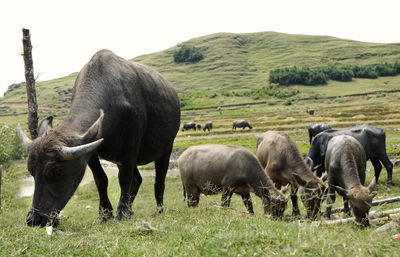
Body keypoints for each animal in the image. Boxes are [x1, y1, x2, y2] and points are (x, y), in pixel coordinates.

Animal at [18, 49, 180, 225]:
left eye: (56, 171)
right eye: (31, 171)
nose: (34, 219)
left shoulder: (130, 149)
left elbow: (124, 179)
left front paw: (120, 213)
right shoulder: (90, 152)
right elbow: (101, 180)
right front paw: (104, 214)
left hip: (167, 147)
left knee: (159, 180)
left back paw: (159, 209)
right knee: (137, 180)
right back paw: (130, 211)